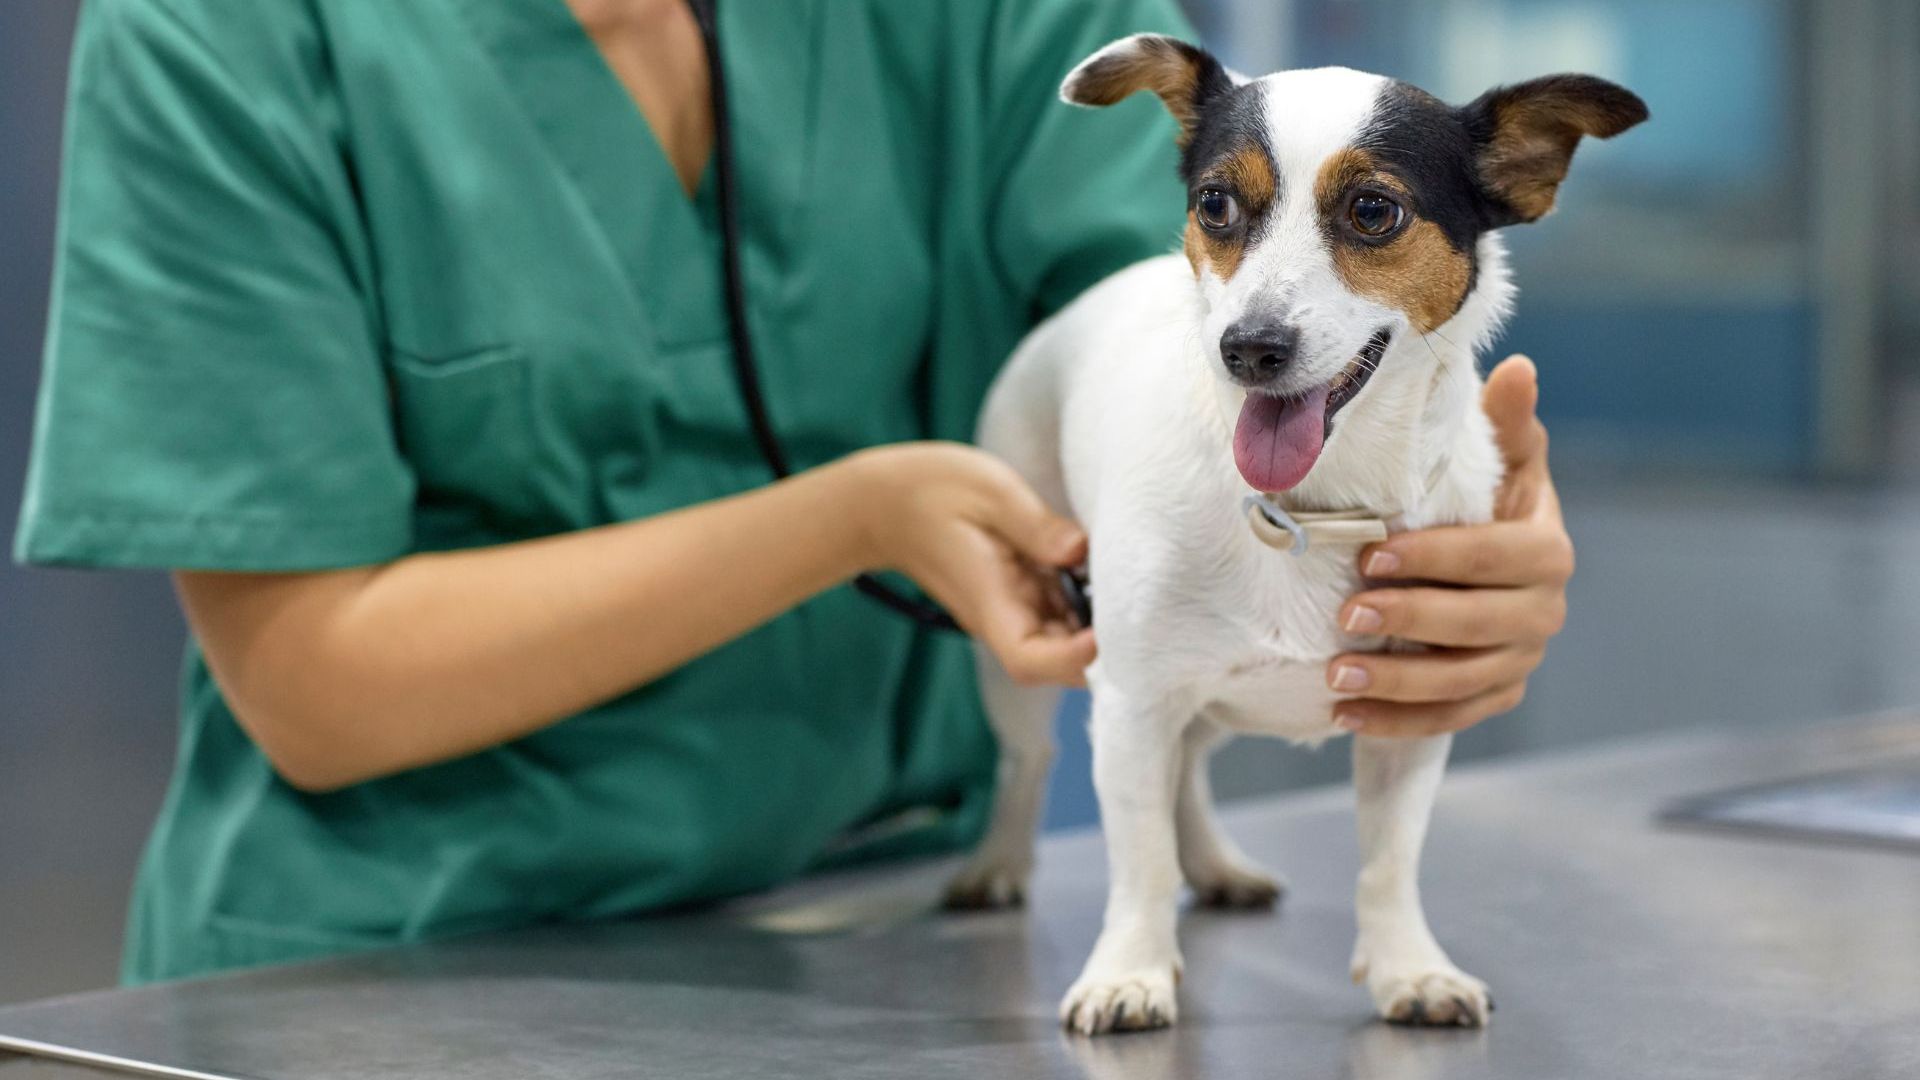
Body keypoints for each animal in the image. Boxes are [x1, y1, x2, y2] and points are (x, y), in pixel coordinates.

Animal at [940, 35, 1635, 1037]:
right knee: (1030, 761)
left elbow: (1389, 862)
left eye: (1375, 211)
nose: (1249, 348)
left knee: (1189, 770)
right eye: (1215, 205)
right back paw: (995, 865)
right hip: (1024, 648)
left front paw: (1408, 967)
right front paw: (1129, 971)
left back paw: (1216, 865)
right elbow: (1136, 858)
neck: (1311, 508)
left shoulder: (1413, 715)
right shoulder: (1132, 702)